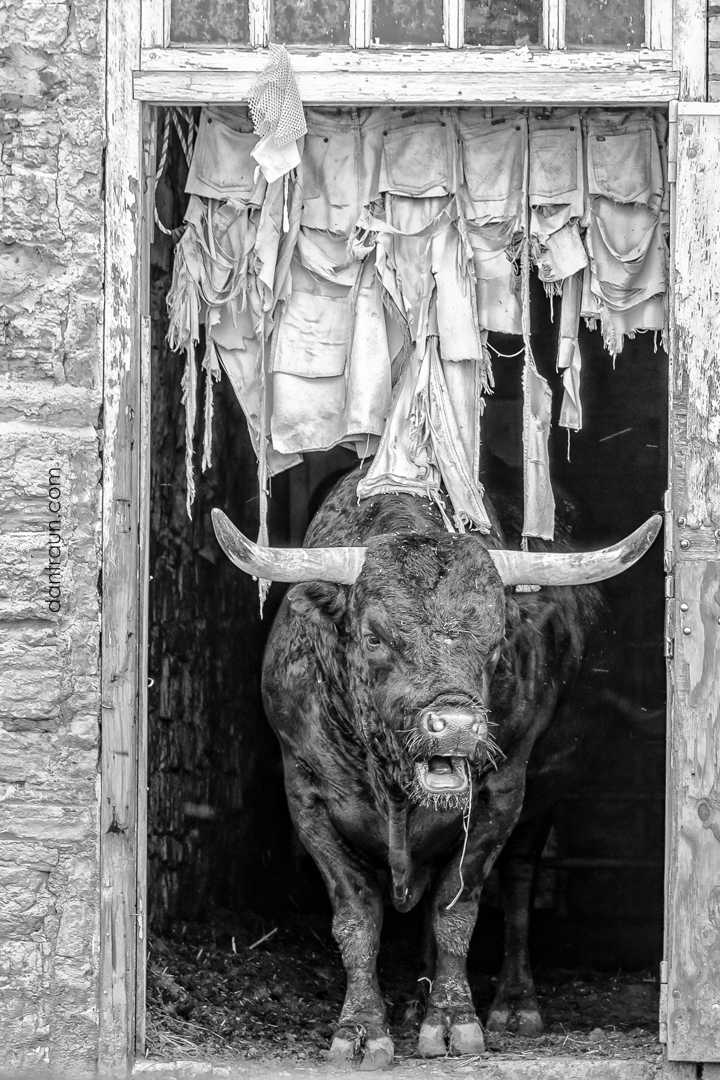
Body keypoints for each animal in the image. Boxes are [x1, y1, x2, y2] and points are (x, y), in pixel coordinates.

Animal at [212, 466, 660, 1069]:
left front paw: (452, 1018)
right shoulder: (305, 796)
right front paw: (361, 1028)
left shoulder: (501, 797)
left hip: (546, 790)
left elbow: (456, 907)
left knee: (518, 882)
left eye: (496, 640)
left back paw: (513, 1003)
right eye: (374, 636)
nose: (458, 726)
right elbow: (357, 916)